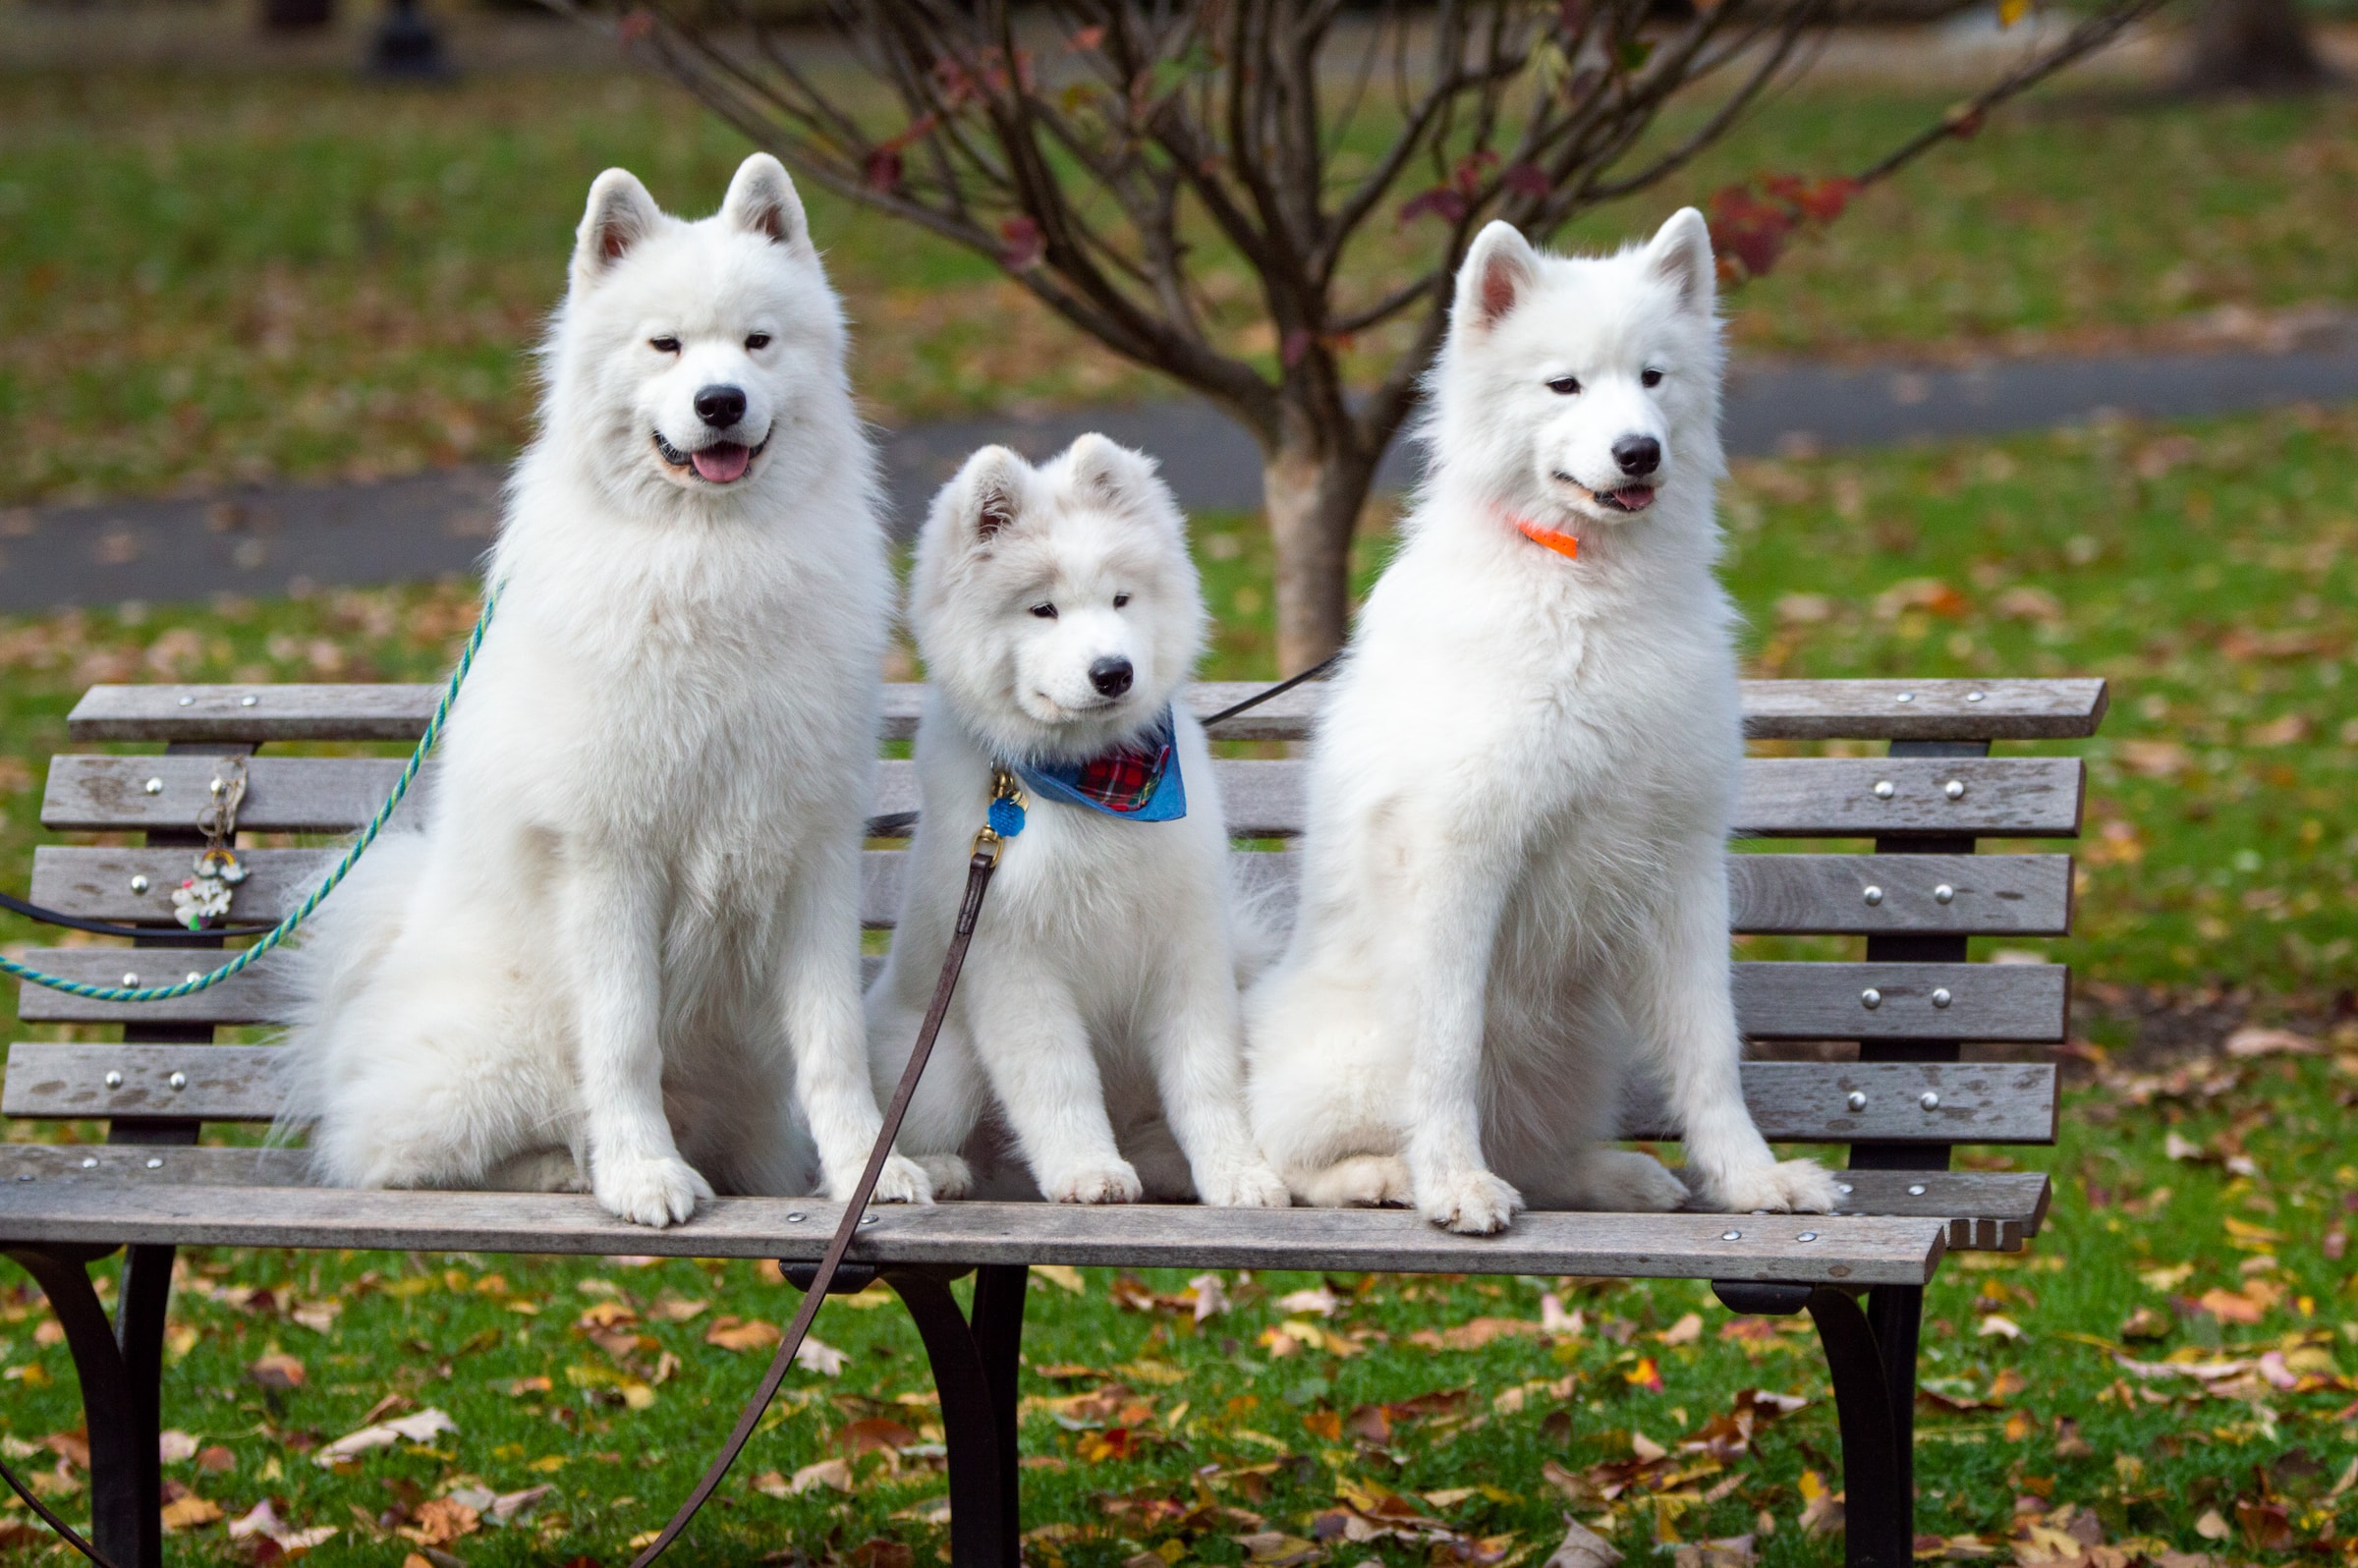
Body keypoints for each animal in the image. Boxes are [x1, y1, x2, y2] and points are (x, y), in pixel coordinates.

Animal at [275, 153, 928, 1226]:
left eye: (757, 342)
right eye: (665, 345)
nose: (720, 401)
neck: (710, 561)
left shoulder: (812, 854)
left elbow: (833, 1044)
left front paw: (867, 1171)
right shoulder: (611, 860)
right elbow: (623, 1042)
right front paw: (641, 1174)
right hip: (493, 1063)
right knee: (393, 1153)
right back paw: (568, 1165)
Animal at [872, 433, 1292, 1203]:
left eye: (1121, 598)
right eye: (1043, 610)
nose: (1113, 671)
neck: (1092, 782)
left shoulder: (1187, 946)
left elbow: (1207, 1076)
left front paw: (1237, 1174)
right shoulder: (1013, 962)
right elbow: (1055, 1078)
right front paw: (1088, 1170)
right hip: (942, 1062)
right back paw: (942, 1169)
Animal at [1245, 210, 1829, 1235]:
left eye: (1652, 377)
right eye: (1564, 384)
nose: (1639, 453)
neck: (1582, 583)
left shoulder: (1683, 864)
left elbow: (1711, 1050)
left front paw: (1751, 1180)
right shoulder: (1459, 860)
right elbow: (1447, 1050)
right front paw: (1454, 1184)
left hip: (1574, 1052)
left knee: (1540, 1151)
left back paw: (1617, 1177)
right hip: (1355, 1058)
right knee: (1291, 1155)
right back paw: (1387, 1176)